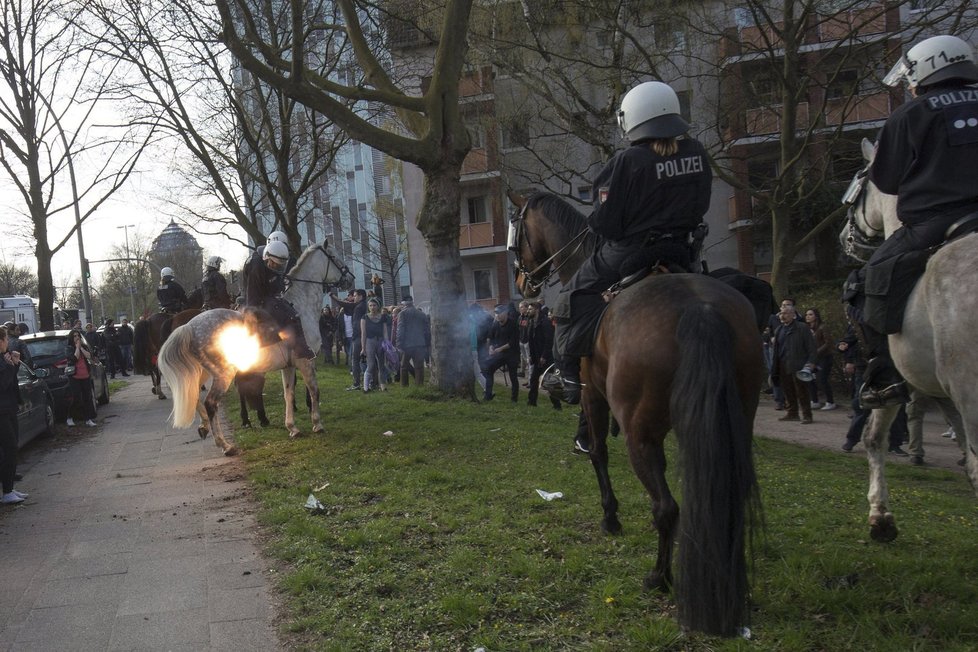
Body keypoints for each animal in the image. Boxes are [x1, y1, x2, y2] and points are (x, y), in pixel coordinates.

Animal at [160, 241, 354, 454]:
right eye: (334, 256)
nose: (350, 279)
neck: (300, 305)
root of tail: (188, 326)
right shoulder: (305, 361)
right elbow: (314, 390)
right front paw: (317, 424)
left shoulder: (288, 366)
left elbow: (288, 394)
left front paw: (292, 427)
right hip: (223, 374)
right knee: (211, 403)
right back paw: (225, 445)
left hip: (201, 372)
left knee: (193, 395)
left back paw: (204, 427)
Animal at [508, 188, 768, 636]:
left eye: (516, 231)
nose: (523, 282)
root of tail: (700, 309)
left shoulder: (593, 394)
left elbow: (597, 452)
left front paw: (610, 518)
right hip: (730, 423)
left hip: (636, 430)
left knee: (666, 507)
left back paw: (660, 578)